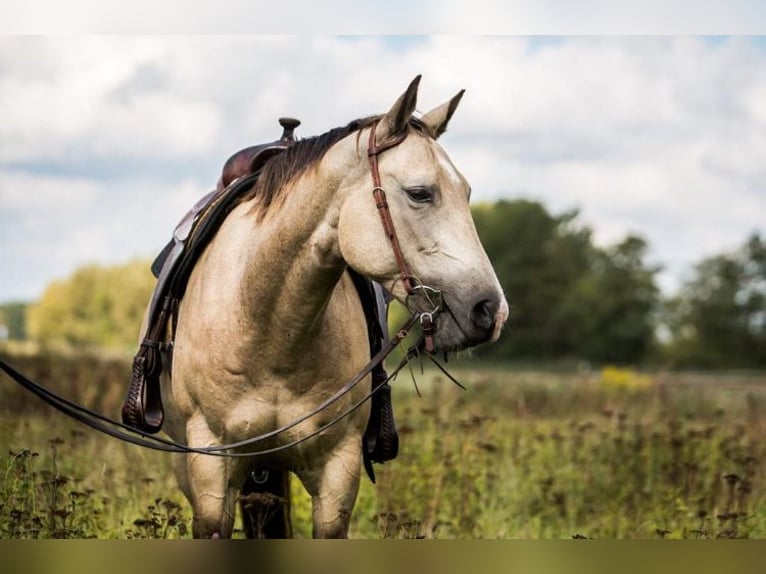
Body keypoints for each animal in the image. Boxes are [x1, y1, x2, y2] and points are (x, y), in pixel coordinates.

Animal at [152, 76, 508, 538]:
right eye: (420, 193)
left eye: (465, 193)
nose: (490, 310)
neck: (268, 327)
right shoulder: (211, 468)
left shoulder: (338, 471)